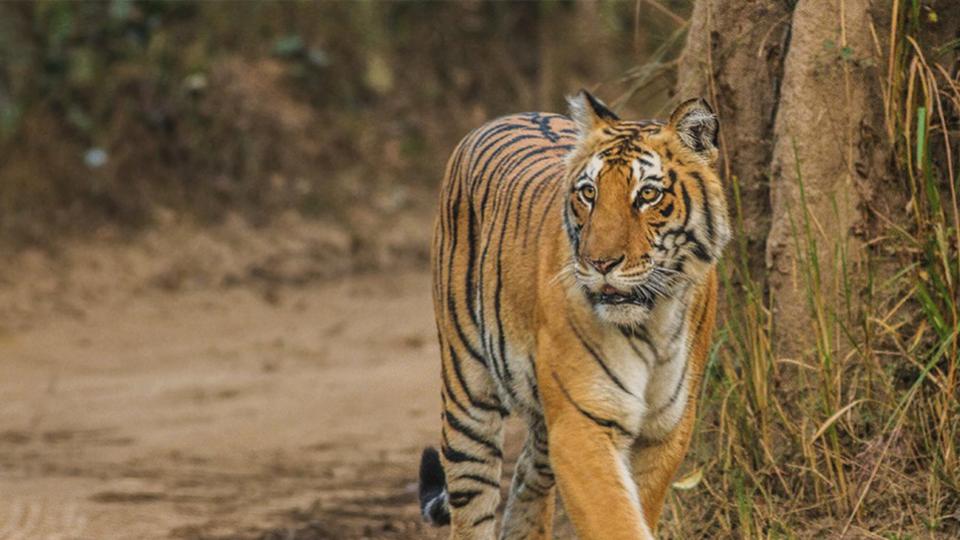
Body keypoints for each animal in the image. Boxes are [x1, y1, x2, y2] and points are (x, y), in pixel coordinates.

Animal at [418, 91, 731, 540]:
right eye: (588, 193)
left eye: (648, 195)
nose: (600, 263)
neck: (652, 321)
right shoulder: (581, 423)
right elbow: (615, 519)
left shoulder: (666, 428)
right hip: (467, 392)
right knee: (472, 503)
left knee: (526, 483)